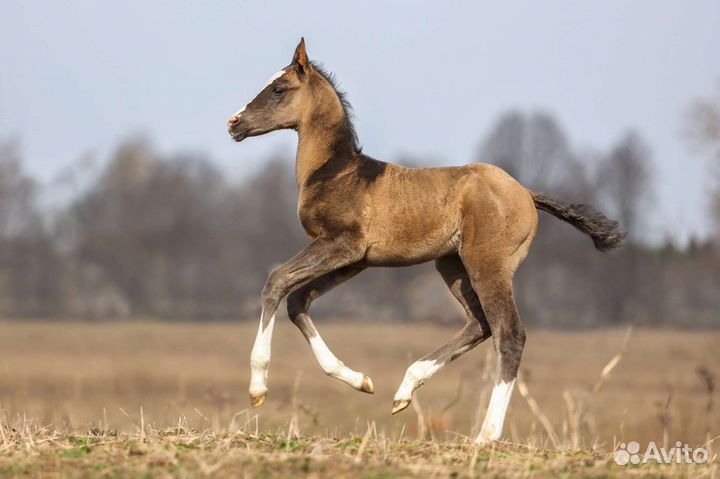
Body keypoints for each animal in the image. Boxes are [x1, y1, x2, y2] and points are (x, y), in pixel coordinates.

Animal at [226, 38, 624, 444]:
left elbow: (276, 282)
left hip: (488, 267)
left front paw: (257, 388)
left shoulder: (341, 245)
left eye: (278, 89)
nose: (234, 123)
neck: (336, 172)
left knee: (509, 333)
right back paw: (405, 390)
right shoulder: (355, 261)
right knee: (480, 324)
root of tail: (526, 194)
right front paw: (361, 381)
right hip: (452, 265)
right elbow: (298, 300)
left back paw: (486, 434)